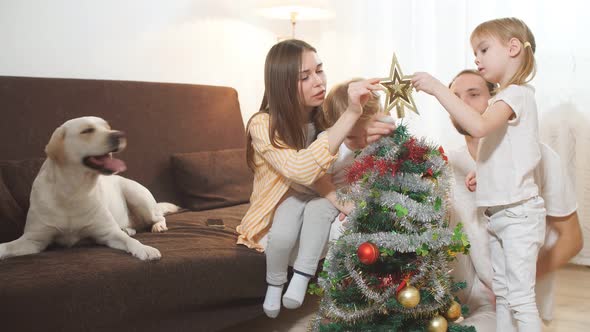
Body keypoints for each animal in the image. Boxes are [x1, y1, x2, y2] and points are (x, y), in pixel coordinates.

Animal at [0, 117, 179, 262]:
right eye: (87, 131)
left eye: (108, 127)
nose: (120, 134)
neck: (74, 190)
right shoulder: (33, 240)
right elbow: (6, 246)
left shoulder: (109, 233)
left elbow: (130, 241)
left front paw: (145, 249)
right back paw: (128, 229)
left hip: (137, 197)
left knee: (158, 217)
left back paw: (157, 226)